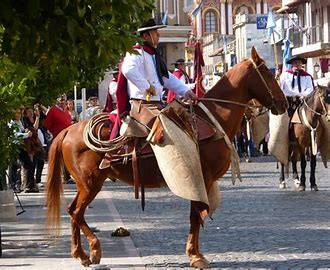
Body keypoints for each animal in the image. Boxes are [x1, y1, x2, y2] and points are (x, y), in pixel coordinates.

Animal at [45, 47, 288, 268]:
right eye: (267, 74)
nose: (284, 103)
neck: (213, 119)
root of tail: (68, 130)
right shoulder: (201, 178)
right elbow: (196, 215)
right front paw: (195, 256)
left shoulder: (201, 181)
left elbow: (195, 215)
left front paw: (194, 253)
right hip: (90, 182)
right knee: (77, 213)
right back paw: (94, 251)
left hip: (86, 184)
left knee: (73, 211)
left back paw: (80, 254)